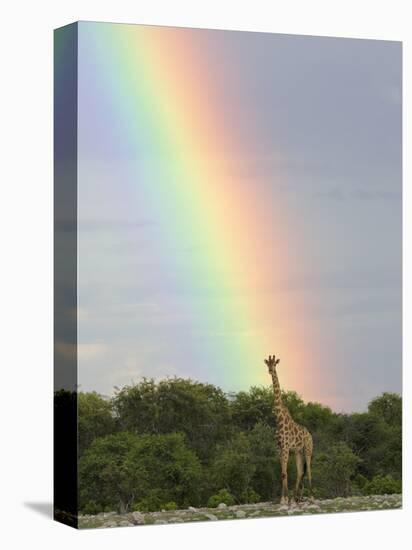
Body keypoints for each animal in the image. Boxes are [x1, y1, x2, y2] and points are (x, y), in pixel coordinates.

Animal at [266, 356, 314, 506]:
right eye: (267, 364)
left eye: (275, 364)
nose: (270, 370)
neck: (278, 419)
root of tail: (310, 435)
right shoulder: (279, 447)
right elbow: (282, 472)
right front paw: (283, 499)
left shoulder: (286, 447)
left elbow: (285, 472)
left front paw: (284, 499)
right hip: (298, 451)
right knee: (300, 472)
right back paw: (295, 498)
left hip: (308, 449)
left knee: (308, 470)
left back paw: (311, 497)